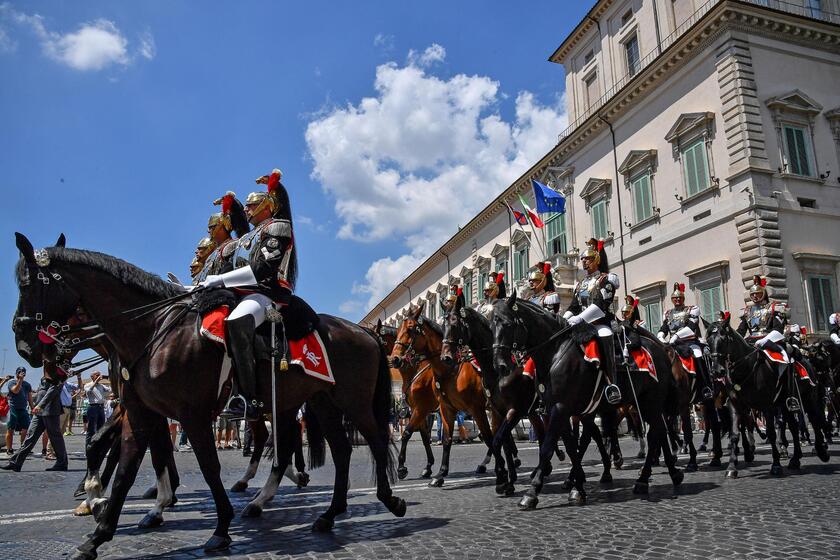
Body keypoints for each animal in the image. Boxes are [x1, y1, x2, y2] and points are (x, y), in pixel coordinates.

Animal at [11, 234, 406, 556]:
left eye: (28, 285)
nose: (25, 347)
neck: (155, 331)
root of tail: (364, 331)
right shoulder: (142, 413)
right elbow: (125, 465)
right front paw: (99, 530)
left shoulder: (191, 414)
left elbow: (205, 465)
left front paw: (218, 527)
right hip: (320, 403)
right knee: (335, 450)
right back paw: (324, 512)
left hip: (352, 402)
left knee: (372, 439)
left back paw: (386, 499)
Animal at [488, 294, 680, 508]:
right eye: (491, 327)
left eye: (507, 323)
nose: (500, 366)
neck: (555, 353)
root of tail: (661, 349)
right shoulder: (557, 408)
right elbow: (572, 447)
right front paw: (577, 488)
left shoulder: (560, 408)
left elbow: (547, 448)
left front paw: (531, 493)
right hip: (641, 403)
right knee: (657, 431)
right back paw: (667, 474)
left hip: (650, 402)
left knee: (655, 433)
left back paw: (644, 478)